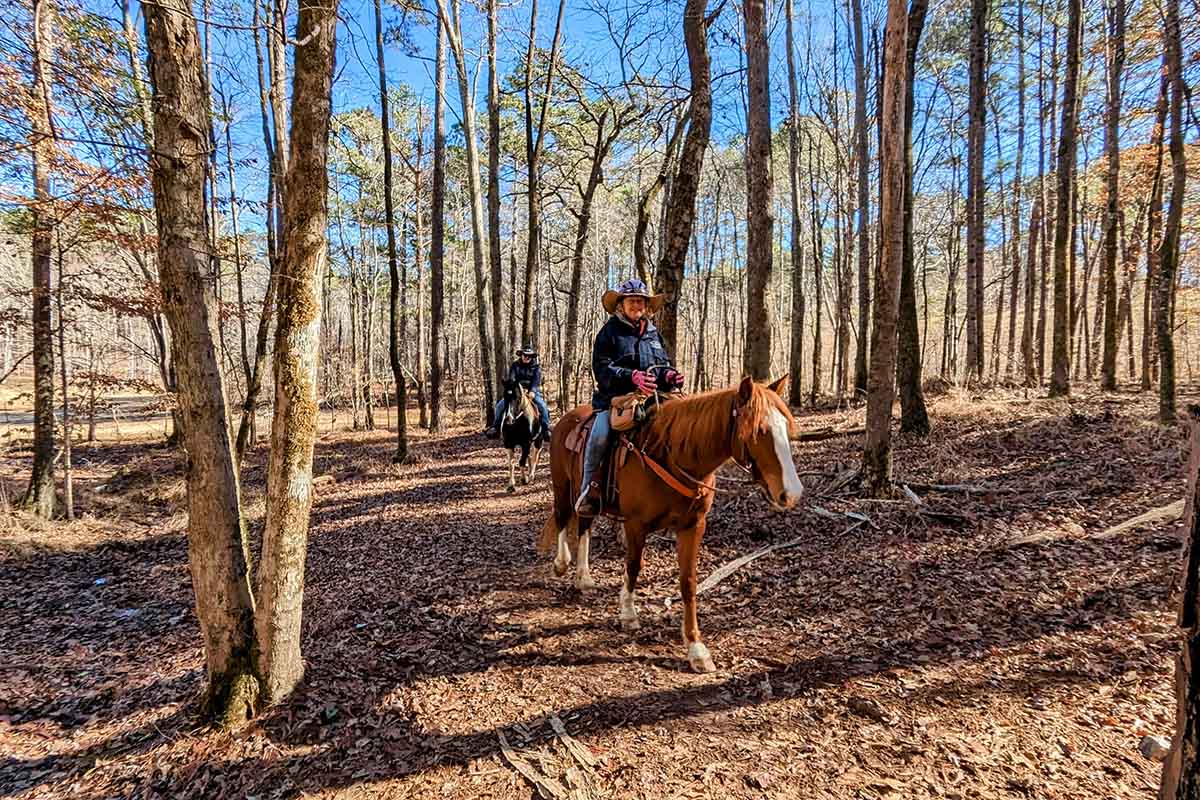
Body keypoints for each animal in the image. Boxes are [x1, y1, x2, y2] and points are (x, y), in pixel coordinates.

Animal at [540, 376, 801, 671]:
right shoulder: (636, 525)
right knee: (563, 518)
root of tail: (567, 419)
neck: (671, 454)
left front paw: (696, 649)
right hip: (562, 487)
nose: (792, 493)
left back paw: (583, 578)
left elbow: (688, 582)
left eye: (786, 427)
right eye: (759, 430)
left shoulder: (693, 526)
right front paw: (628, 614)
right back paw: (561, 564)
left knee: (584, 526)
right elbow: (633, 567)